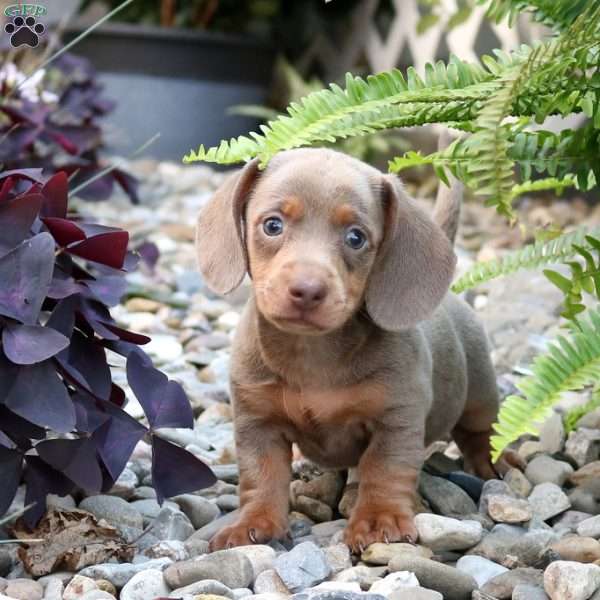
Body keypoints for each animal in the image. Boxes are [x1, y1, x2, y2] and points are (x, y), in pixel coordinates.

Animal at [196, 148, 502, 552]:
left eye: (356, 237)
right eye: (273, 225)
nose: (307, 290)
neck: (312, 353)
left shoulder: (396, 419)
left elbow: (384, 468)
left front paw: (377, 520)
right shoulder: (257, 422)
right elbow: (261, 475)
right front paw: (253, 523)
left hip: (480, 397)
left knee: (480, 435)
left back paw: (490, 465)